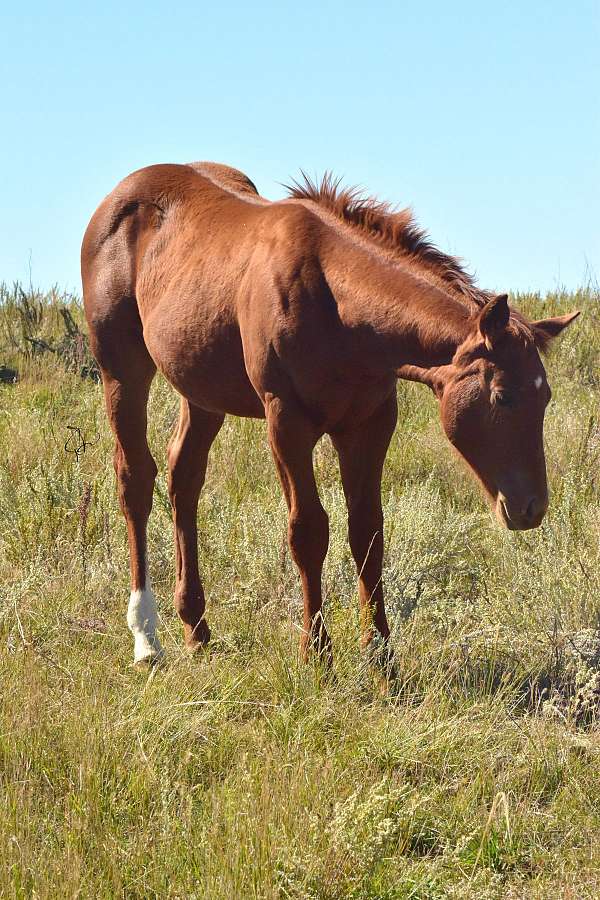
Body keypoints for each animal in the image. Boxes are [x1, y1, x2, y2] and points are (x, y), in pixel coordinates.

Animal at [81, 161, 579, 668]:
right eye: (502, 397)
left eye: (544, 398)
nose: (531, 508)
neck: (339, 309)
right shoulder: (286, 423)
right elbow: (308, 532)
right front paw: (316, 653)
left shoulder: (369, 424)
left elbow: (368, 533)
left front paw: (381, 657)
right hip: (122, 370)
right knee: (135, 480)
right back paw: (146, 637)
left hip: (201, 393)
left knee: (184, 479)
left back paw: (196, 627)